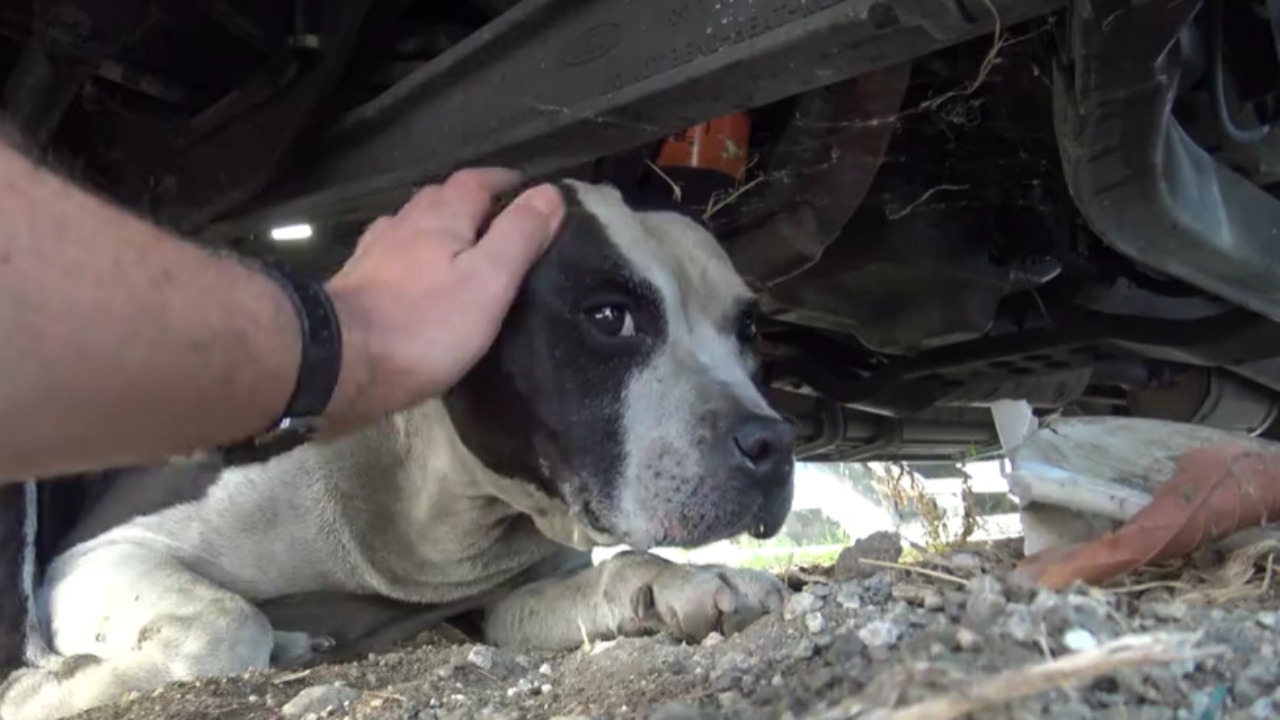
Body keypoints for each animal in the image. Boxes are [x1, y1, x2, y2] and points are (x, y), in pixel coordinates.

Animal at [0, 179, 793, 717]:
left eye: (751, 330)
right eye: (608, 316)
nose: (773, 441)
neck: (439, 514)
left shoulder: (506, 599)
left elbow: (618, 568)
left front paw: (686, 583)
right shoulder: (103, 554)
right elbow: (226, 624)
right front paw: (64, 686)